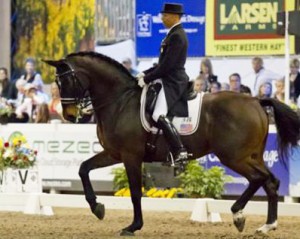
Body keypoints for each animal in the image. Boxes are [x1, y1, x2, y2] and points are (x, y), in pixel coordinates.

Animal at [44, 51, 300, 236]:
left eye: (67, 80)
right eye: (57, 82)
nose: (68, 115)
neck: (119, 101)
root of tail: (257, 101)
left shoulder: (130, 156)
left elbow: (135, 192)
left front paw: (133, 226)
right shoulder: (114, 153)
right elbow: (83, 168)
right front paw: (97, 208)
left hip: (234, 157)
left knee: (259, 179)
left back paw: (238, 215)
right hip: (251, 155)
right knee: (271, 182)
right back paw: (267, 225)